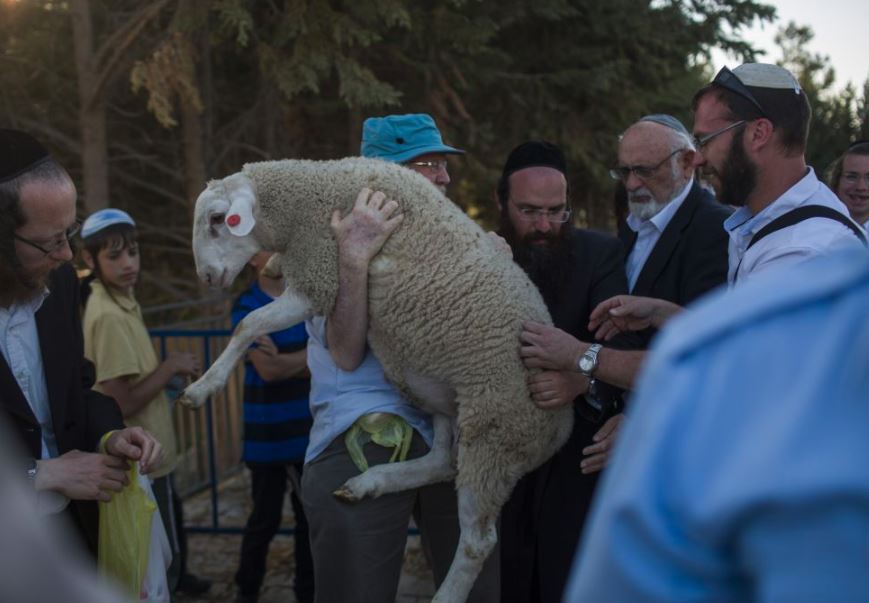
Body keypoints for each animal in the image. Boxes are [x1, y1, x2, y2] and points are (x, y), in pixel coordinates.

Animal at [180, 158, 572, 600]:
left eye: (218, 220)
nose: (207, 276)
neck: (307, 198)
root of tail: (561, 426)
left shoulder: (321, 275)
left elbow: (249, 324)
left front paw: (201, 388)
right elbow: (254, 318)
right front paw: (272, 265)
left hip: (495, 433)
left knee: (477, 541)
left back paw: (446, 593)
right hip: (441, 398)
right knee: (440, 463)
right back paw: (371, 482)